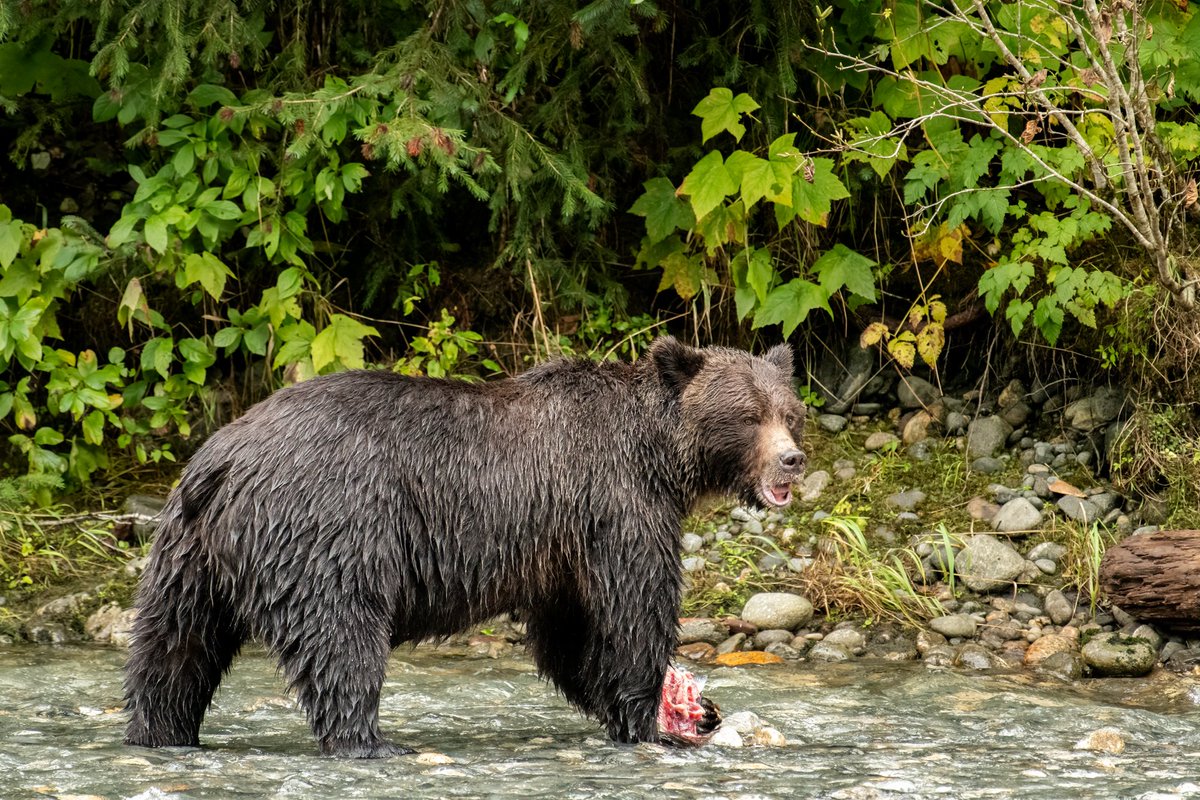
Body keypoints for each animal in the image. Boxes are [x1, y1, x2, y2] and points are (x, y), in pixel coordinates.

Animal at [123, 336, 807, 757]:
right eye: (748, 415)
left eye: (790, 411)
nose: (793, 460)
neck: (658, 456)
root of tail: (226, 460)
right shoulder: (614, 505)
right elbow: (632, 610)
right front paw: (655, 719)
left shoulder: (559, 549)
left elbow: (572, 636)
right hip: (330, 527)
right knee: (340, 632)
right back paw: (371, 741)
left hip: (188, 554)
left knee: (173, 648)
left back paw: (159, 731)